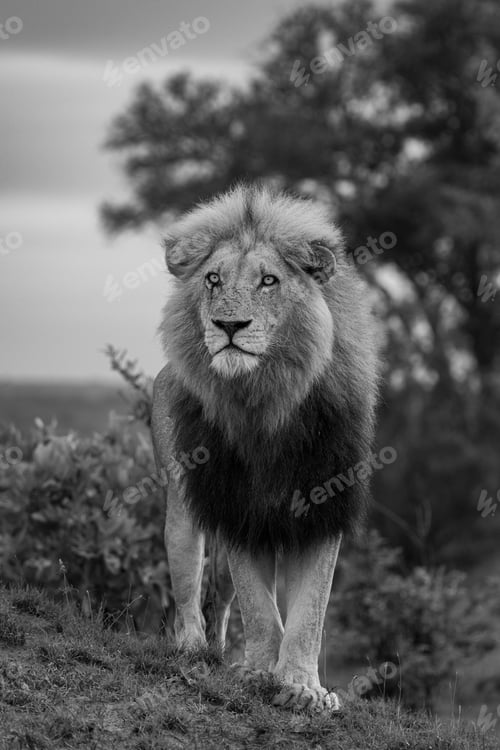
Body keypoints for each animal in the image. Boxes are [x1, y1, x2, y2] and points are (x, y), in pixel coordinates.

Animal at [151, 184, 380, 711]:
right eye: (213, 279)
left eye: (269, 281)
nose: (228, 325)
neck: (265, 400)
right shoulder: (235, 505)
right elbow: (260, 606)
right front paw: (259, 674)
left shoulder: (323, 505)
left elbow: (310, 610)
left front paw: (302, 687)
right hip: (183, 504)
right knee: (188, 580)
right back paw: (192, 648)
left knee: (220, 595)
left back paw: (217, 652)